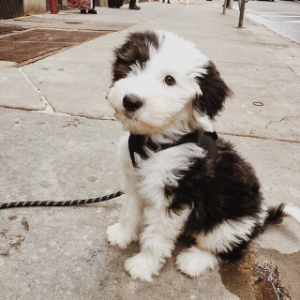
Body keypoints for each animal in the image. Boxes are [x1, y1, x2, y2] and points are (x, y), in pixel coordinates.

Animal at [105, 29, 298, 282]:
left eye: (170, 80)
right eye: (136, 62)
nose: (130, 101)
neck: (156, 143)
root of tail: (259, 219)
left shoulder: (175, 197)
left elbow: (155, 237)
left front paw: (143, 265)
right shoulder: (133, 181)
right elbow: (129, 211)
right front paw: (122, 235)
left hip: (225, 226)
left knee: (227, 251)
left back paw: (194, 261)